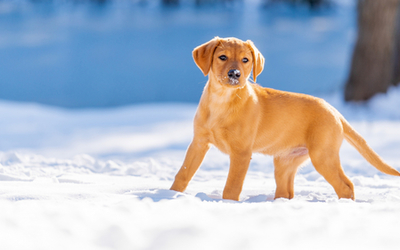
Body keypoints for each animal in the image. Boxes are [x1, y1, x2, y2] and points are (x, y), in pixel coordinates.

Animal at [170, 36, 400, 201]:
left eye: (246, 60)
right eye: (222, 57)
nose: (235, 74)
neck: (222, 101)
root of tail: (334, 110)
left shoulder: (241, 153)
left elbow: (232, 186)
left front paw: (227, 204)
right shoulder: (199, 142)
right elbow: (183, 173)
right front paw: (172, 195)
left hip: (323, 155)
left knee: (346, 185)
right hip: (285, 162)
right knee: (287, 192)